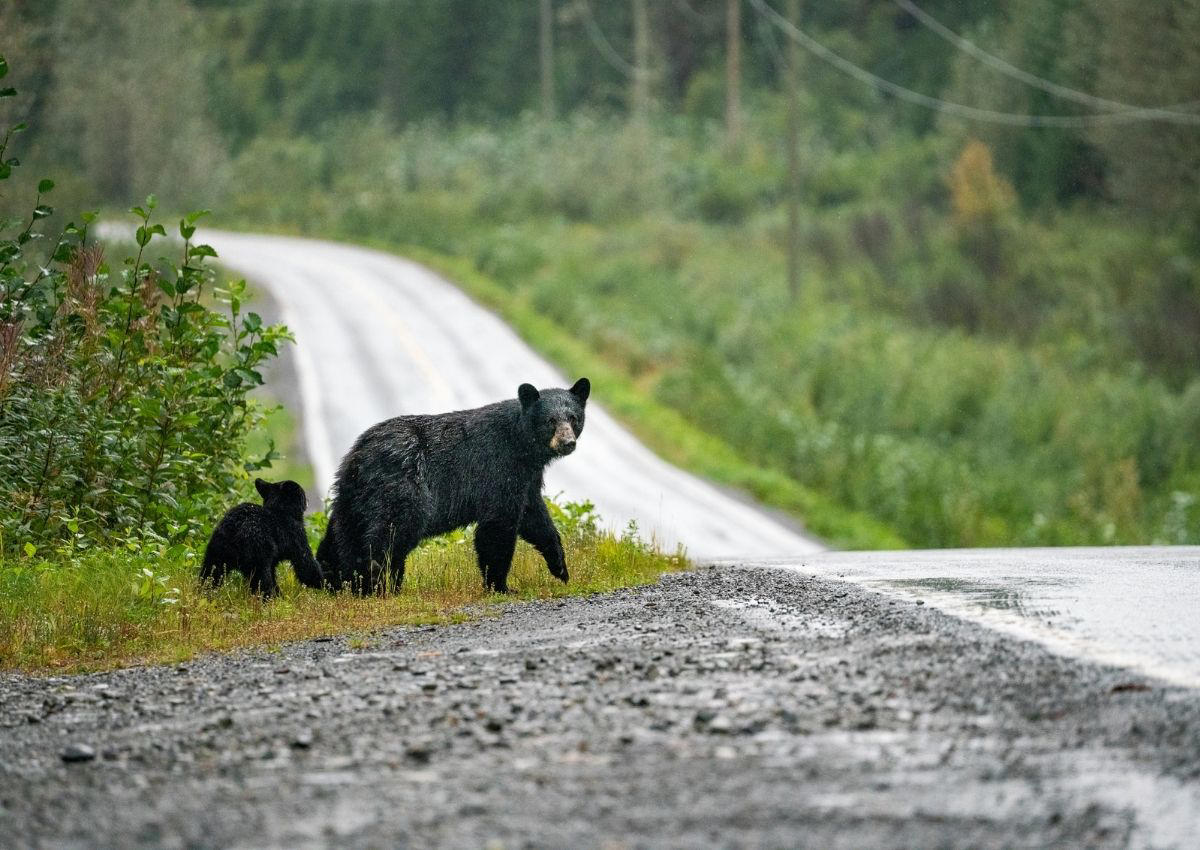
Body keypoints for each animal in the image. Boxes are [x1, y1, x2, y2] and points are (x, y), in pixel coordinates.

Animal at [316, 378, 590, 595]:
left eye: (573, 418)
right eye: (550, 421)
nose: (568, 442)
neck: (522, 446)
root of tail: (358, 453)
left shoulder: (527, 478)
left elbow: (535, 517)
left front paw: (560, 567)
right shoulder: (499, 469)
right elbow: (497, 525)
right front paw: (500, 586)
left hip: (353, 496)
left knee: (343, 535)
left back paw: (340, 581)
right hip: (402, 487)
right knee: (389, 533)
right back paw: (376, 584)